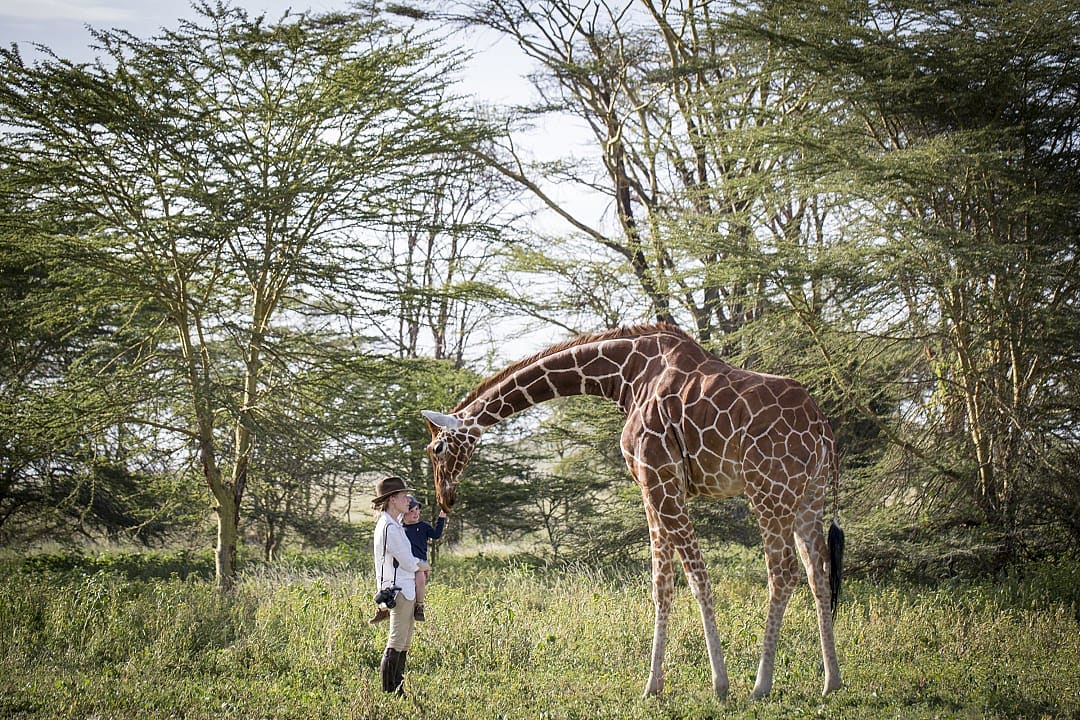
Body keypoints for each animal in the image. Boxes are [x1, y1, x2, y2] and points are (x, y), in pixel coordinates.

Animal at [422, 323, 843, 700]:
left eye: (437, 449)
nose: (445, 498)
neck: (626, 375)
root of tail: (823, 429)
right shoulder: (653, 485)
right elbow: (662, 584)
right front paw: (654, 686)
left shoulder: (658, 477)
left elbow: (697, 577)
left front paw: (719, 684)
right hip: (810, 495)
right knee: (818, 571)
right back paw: (831, 682)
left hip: (769, 489)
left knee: (782, 572)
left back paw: (761, 685)